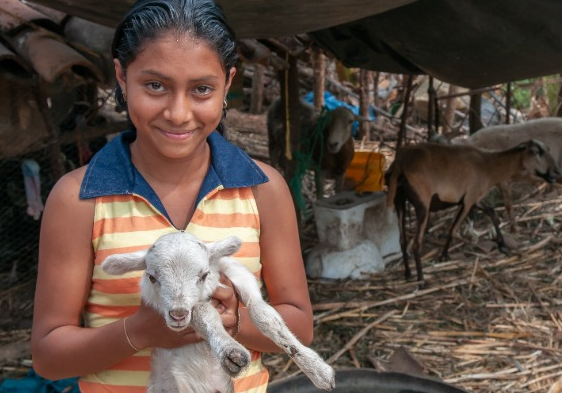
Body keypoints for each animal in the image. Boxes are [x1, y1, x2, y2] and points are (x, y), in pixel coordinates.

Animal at [101, 231, 332, 392]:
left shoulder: (236, 275)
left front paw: (317, 369)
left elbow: (263, 315)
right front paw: (231, 352)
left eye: (204, 275)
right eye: (151, 277)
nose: (178, 314)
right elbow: (203, 312)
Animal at [384, 139, 556, 282]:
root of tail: (400, 162)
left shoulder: (475, 199)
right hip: (422, 203)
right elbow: (453, 230)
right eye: (536, 152)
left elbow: (491, 211)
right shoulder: (468, 200)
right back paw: (421, 280)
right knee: (416, 243)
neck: (489, 166)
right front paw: (443, 256)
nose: (556, 173)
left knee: (403, 240)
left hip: (399, 200)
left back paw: (408, 274)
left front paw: (502, 245)